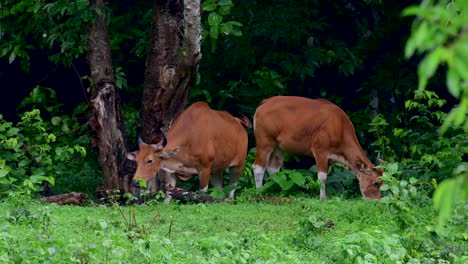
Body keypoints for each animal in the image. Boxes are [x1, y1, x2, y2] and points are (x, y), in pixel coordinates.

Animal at [254, 96, 382, 199]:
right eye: (376, 183)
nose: (377, 201)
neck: (339, 126)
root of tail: (265, 102)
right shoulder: (320, 151)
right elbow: (322, 177)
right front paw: (323, 198)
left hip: (279, 147)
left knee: (274, 170)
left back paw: (275, 190)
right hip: (264, 142)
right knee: (258, 168)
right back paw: (259, 192)